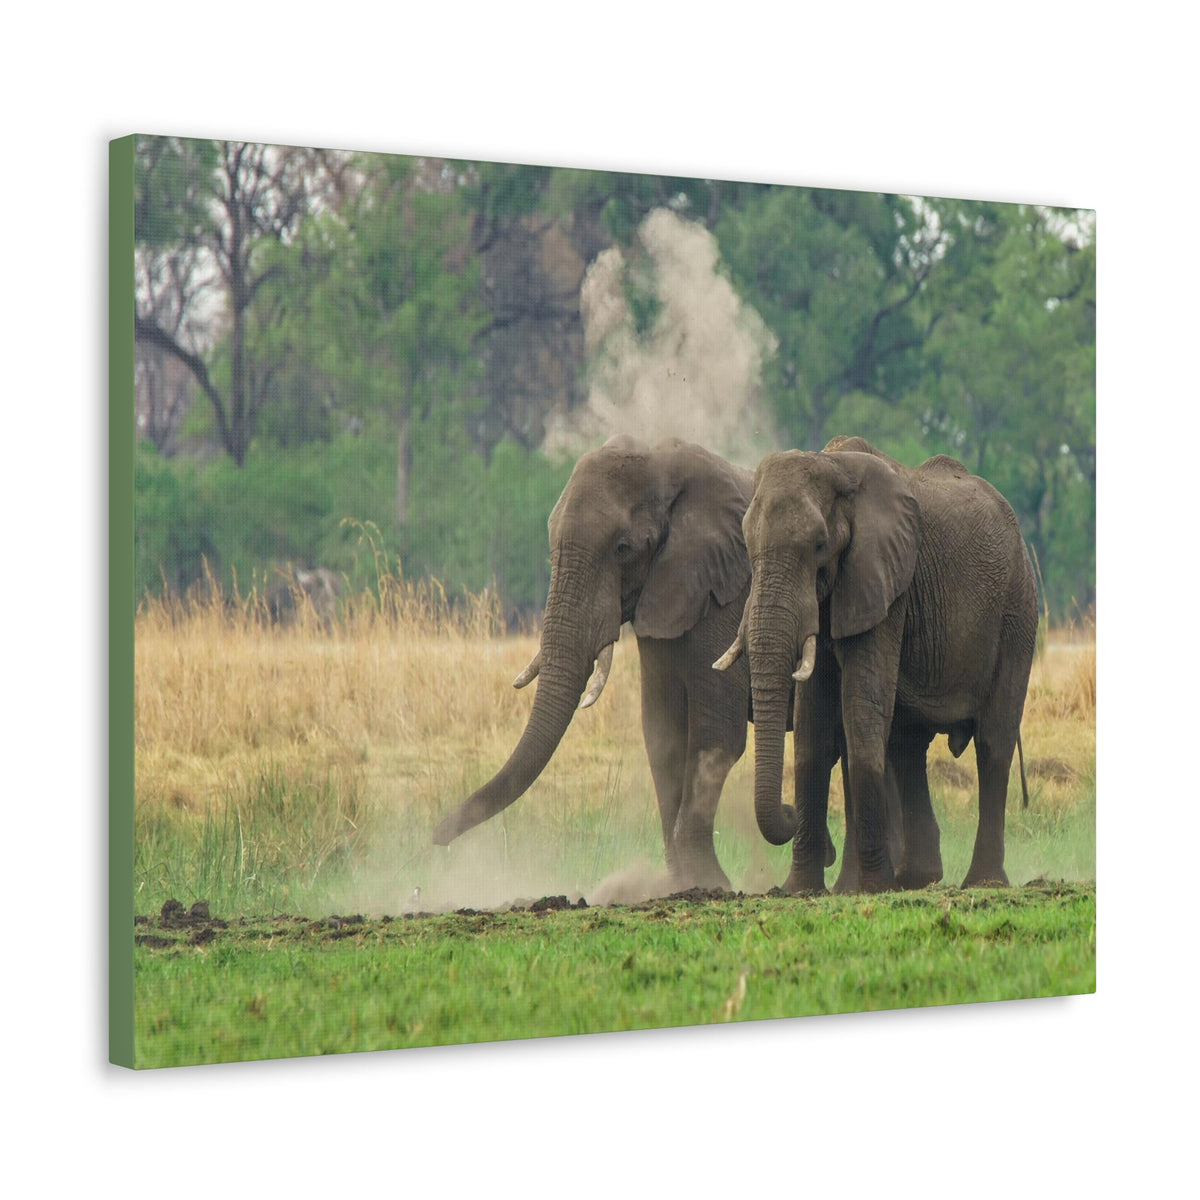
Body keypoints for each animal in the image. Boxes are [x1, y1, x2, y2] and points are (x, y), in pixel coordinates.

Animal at [433, 434, 792, 891]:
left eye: (623, 549)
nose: (436, 838)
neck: (665, 464)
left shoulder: (724, 592)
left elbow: (716, 734)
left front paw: (710, 884)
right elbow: (662, 734)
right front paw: (679, 885)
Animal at [714, 436, 1038, 894]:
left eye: (818, 545)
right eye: (746, 545)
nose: (788, 812)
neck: (833, 465)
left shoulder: (884, 585)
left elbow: (860, 707)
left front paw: (867, 888)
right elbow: (814, 723)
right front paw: (802, 890)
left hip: (1017, 611)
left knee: (993, 741)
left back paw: (982, 883)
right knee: (907, 745)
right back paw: (916, 878)